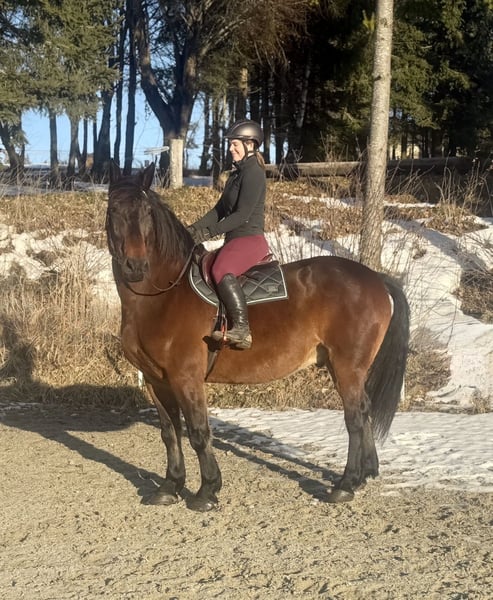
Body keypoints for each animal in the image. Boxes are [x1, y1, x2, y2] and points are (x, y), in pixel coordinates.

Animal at [106, 162, 410, 512]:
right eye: (113, 210)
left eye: (145, 212)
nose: (135, 266)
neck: (162, 296)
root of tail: (376, 278)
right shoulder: (157, 381)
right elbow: (170, 433)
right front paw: (170, 487)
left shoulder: (186, 378)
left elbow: (198, 432)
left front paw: (207, 490)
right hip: (341, 367)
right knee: (364, 410)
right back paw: (366, 474)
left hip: (348, 367)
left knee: (355, 418)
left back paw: (346, 484)